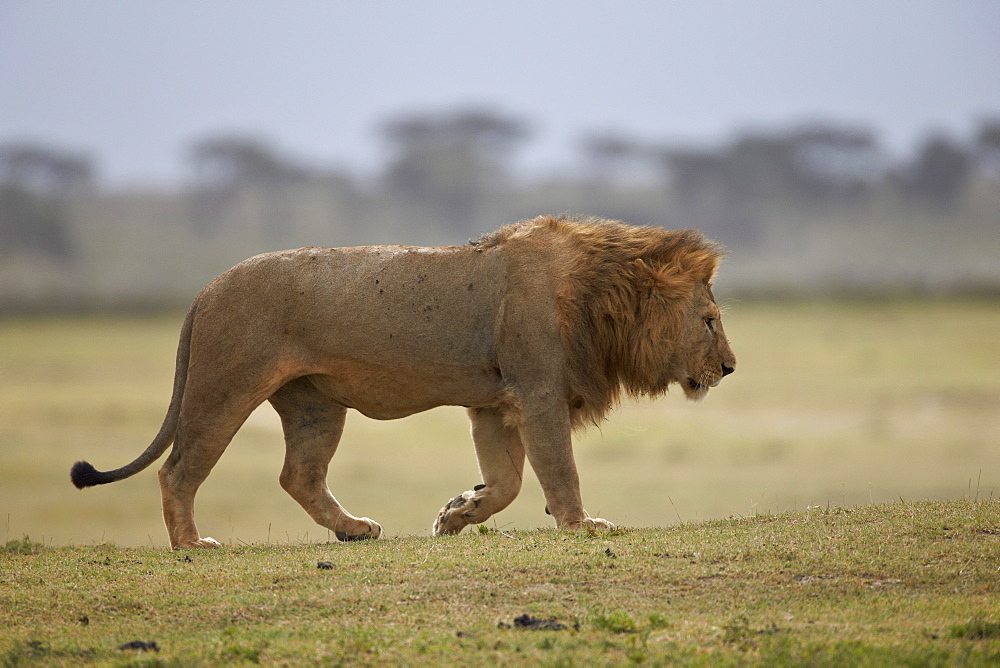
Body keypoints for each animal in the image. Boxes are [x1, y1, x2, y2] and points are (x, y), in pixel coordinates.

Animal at [66, 214, 732, 548]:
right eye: (709, 320)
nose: (729, 367)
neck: (602, 297)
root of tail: (204, 290)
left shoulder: (493, 404)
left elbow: (508, 481)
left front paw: (456, 514)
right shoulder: (538, 391)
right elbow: (558, 471)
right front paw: (582, 526)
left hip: (313, 404)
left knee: (298, 475)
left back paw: (354, 530)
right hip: (223, 389)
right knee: (177, 471)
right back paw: (191, 545)